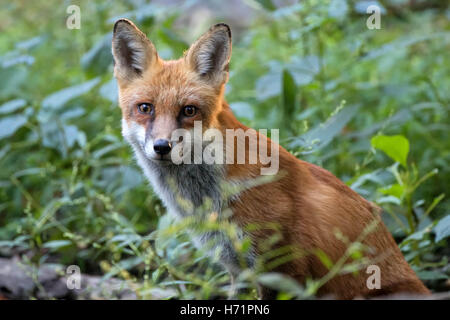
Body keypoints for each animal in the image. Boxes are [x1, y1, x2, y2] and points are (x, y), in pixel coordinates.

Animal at [111, 19, 428, 300]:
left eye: (189, 110)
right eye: (145, 108)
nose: (161, 146)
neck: (211, 196)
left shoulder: (281, 266)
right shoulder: (237, 267)